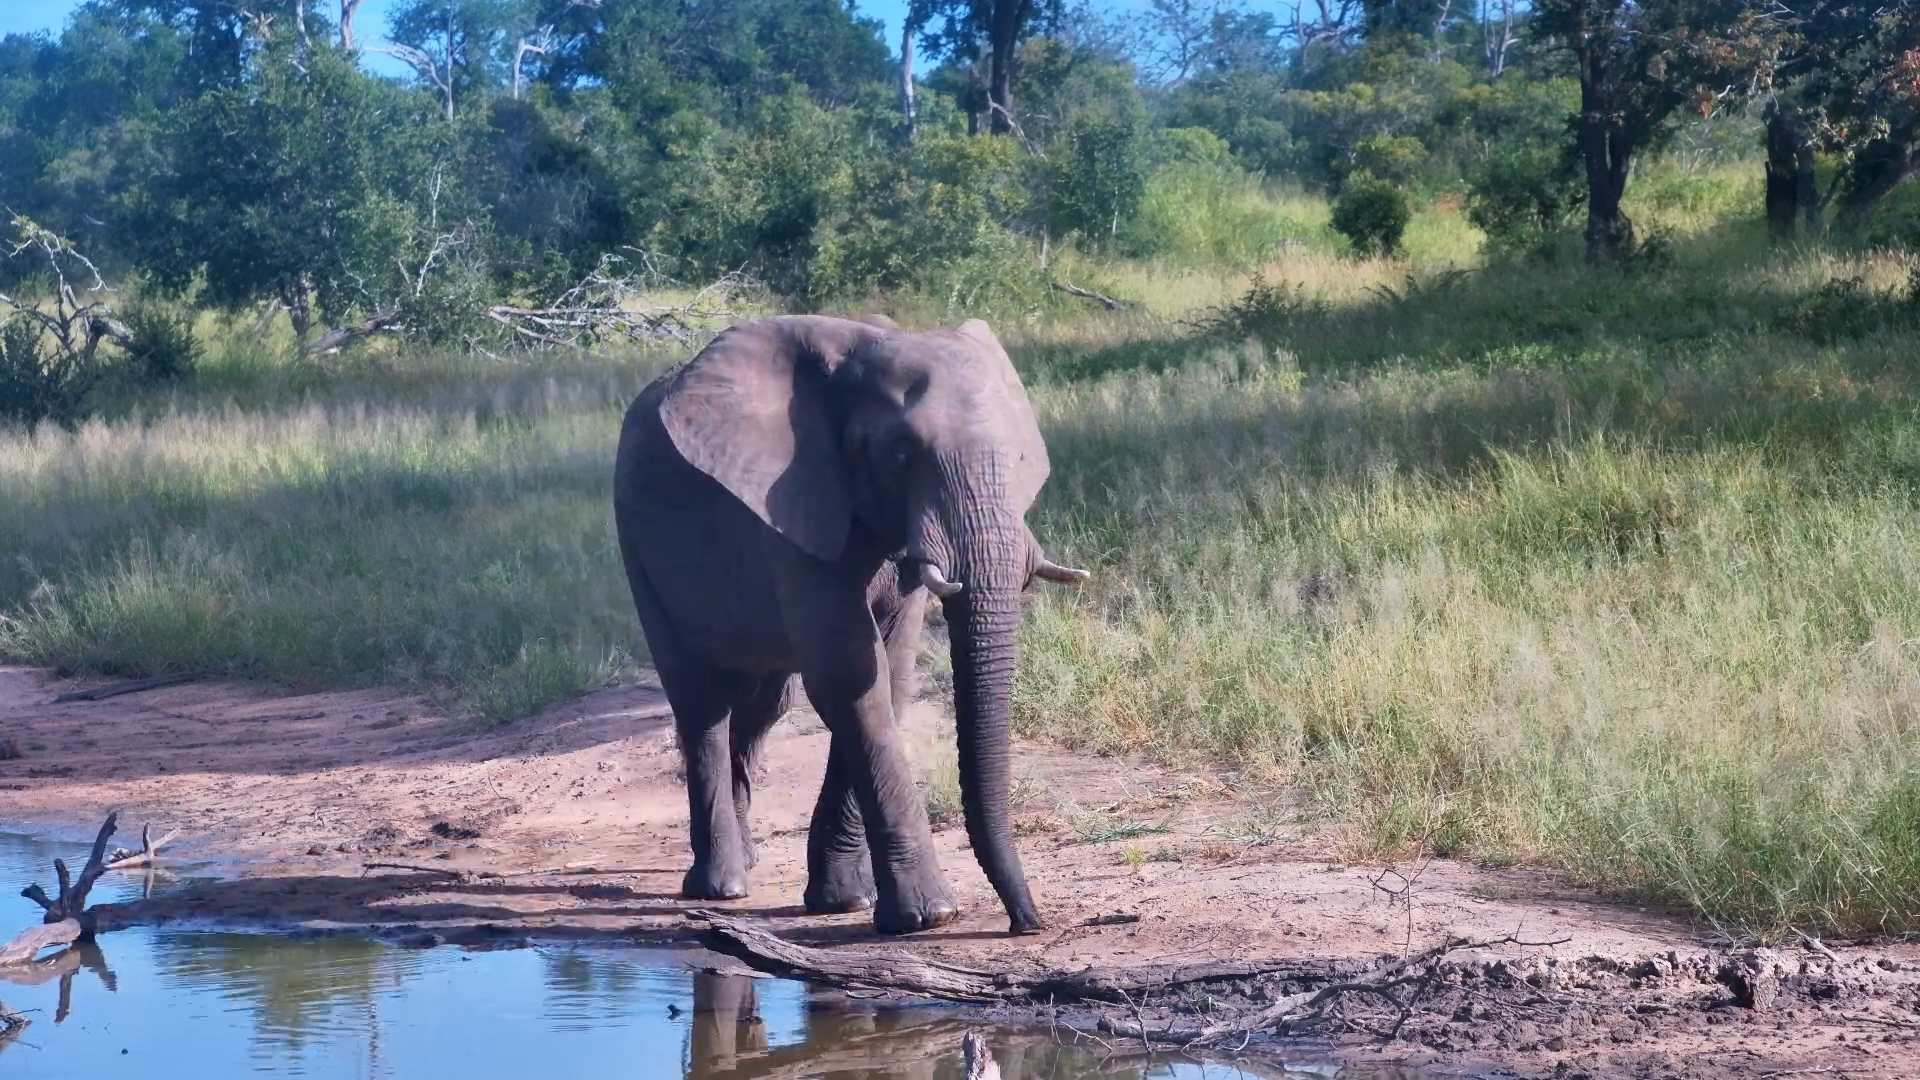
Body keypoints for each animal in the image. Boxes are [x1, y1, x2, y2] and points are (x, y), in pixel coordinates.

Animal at [613, 314, 1086, 935]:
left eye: (1019, 457)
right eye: (901, 451)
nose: (1027, 923)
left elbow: (888, 676)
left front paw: (846, 901)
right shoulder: (793, 500)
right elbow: (852, 676)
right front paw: (928, 916)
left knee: (766, 703)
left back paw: (748, 857)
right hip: (635, 538)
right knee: (701, 700)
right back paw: (723, 884)